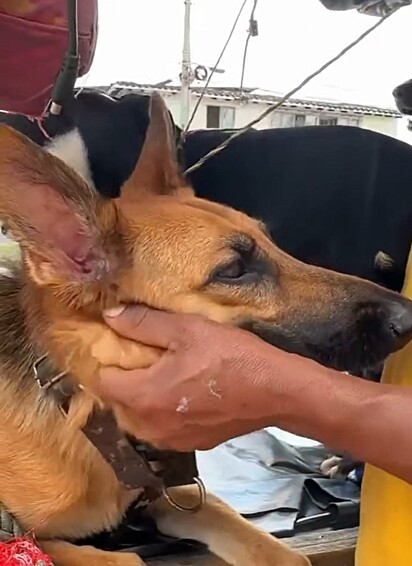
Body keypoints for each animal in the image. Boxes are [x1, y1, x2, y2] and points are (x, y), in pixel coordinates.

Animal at [0, 93, 412, 566]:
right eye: (233, 270)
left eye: (273, 244)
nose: (408, 317)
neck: (87, 407)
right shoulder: (27, 537)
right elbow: (118, 558)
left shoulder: (176, 496)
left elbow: (272, 546)